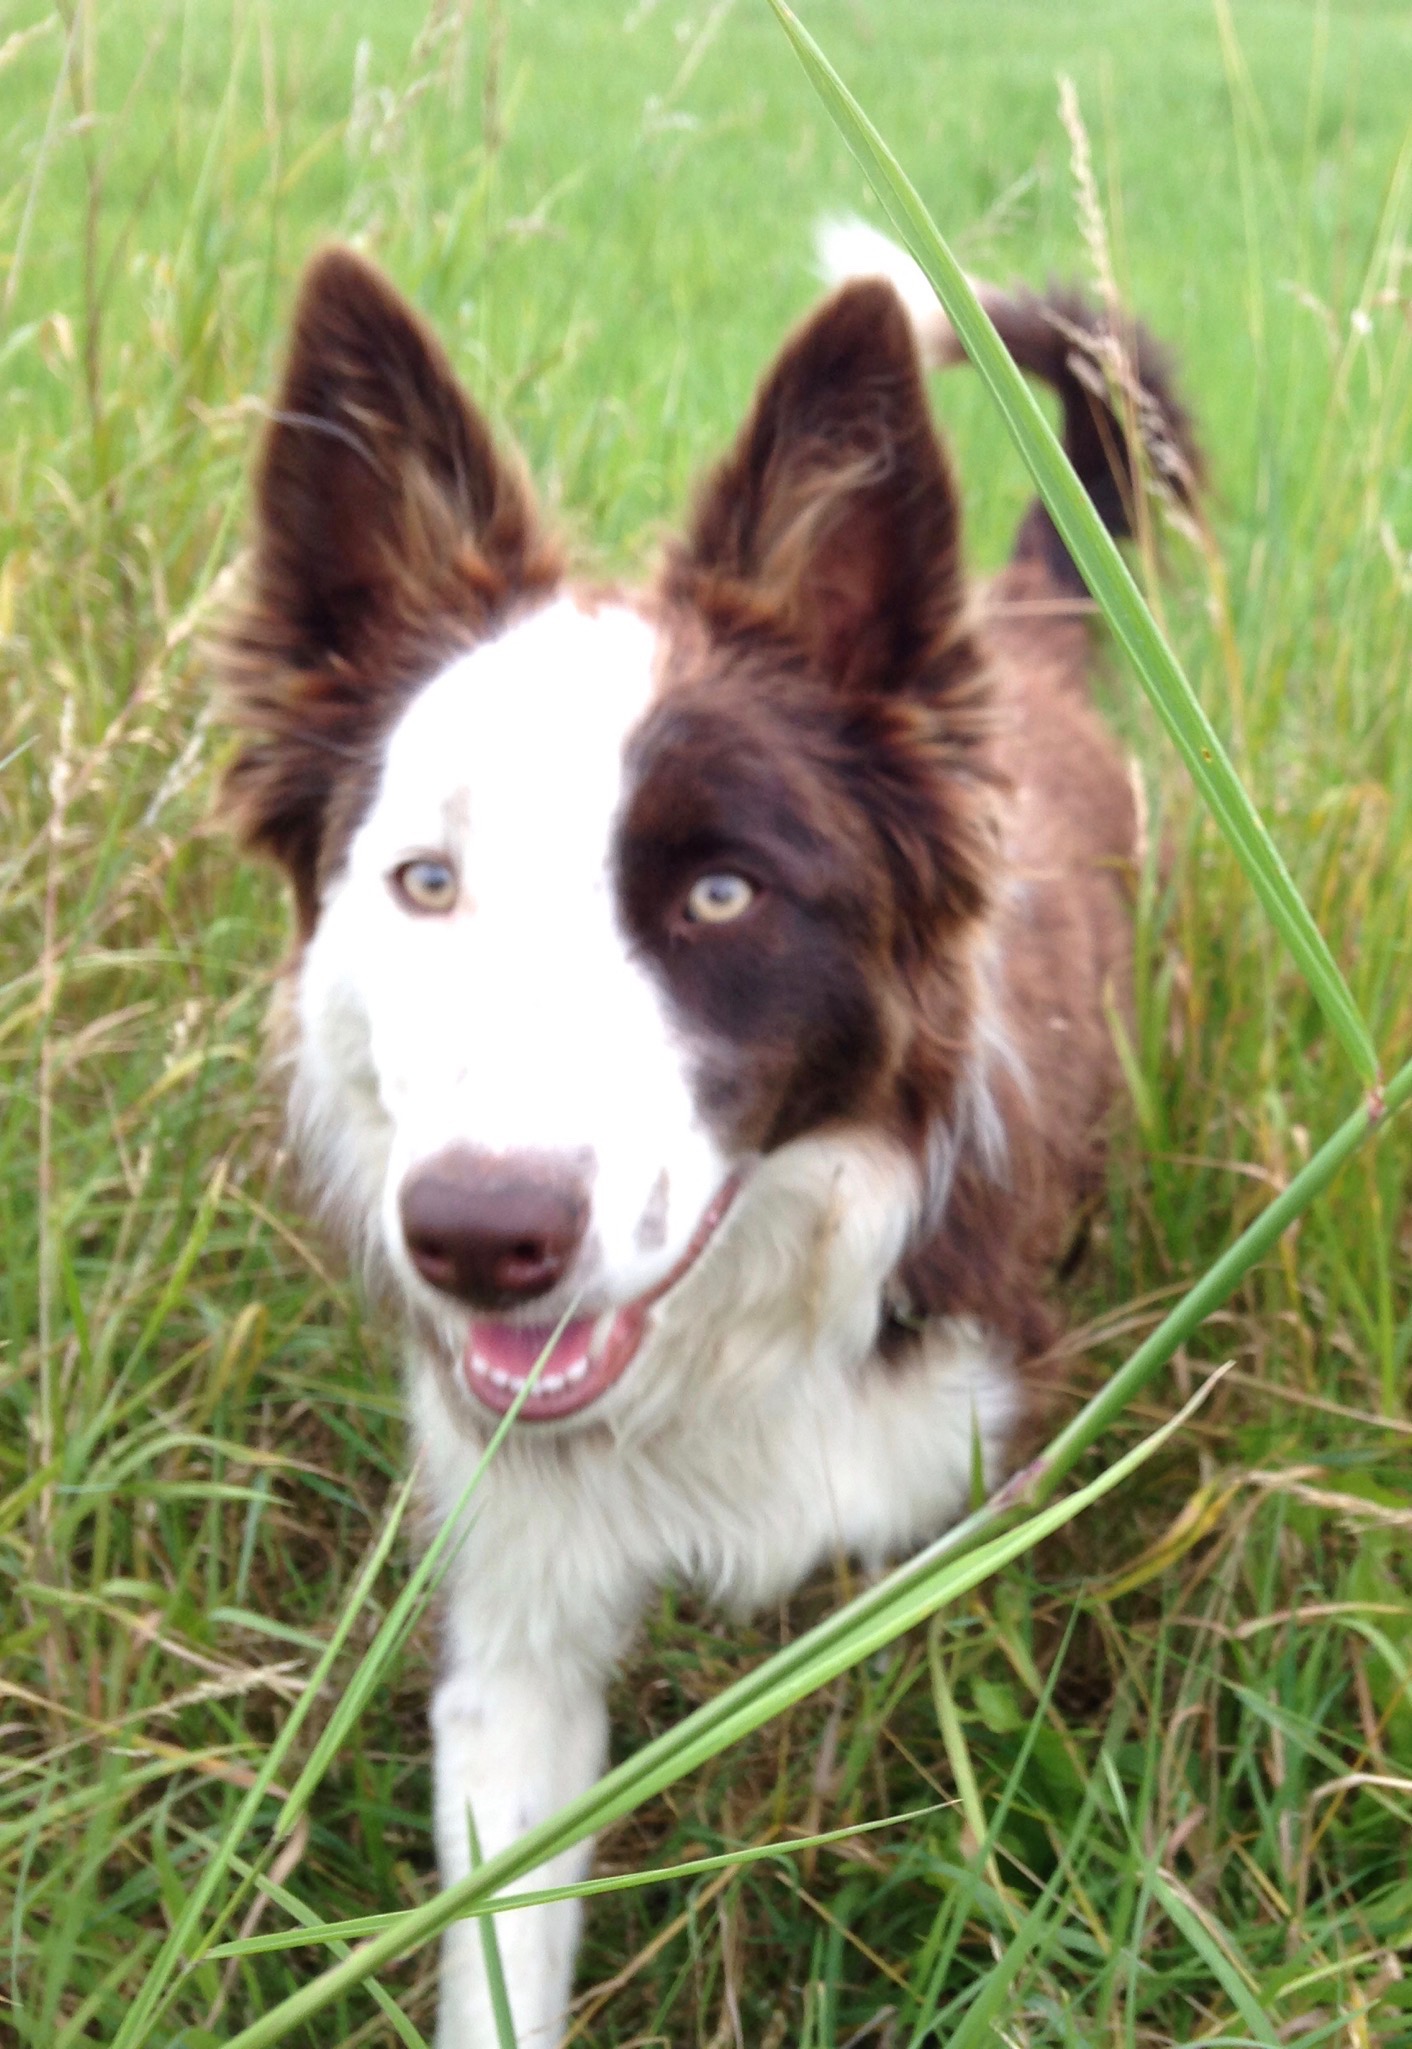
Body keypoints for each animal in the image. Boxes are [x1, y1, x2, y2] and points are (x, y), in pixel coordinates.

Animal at [216, 217, 1196, 2046]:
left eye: (722, 893)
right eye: (425, 881)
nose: (481, 1238)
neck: (737, 1335)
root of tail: (1013, 625)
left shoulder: (952, 1495)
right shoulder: (516, 1600)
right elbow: (499, 1930)